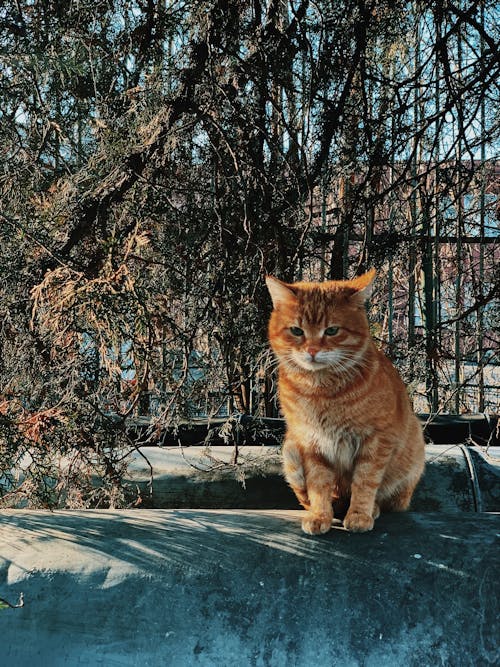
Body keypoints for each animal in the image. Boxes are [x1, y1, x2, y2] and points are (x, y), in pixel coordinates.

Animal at [268, 268, 424, 536]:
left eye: (332, 331)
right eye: (297, 331)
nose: (312, 350)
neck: (321, 391)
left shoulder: (376, 440)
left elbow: (365, 481)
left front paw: (359, 514)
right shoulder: (311, 443)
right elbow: (319, 485)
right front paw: (320, 515)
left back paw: (371, 509)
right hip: (291, 449)